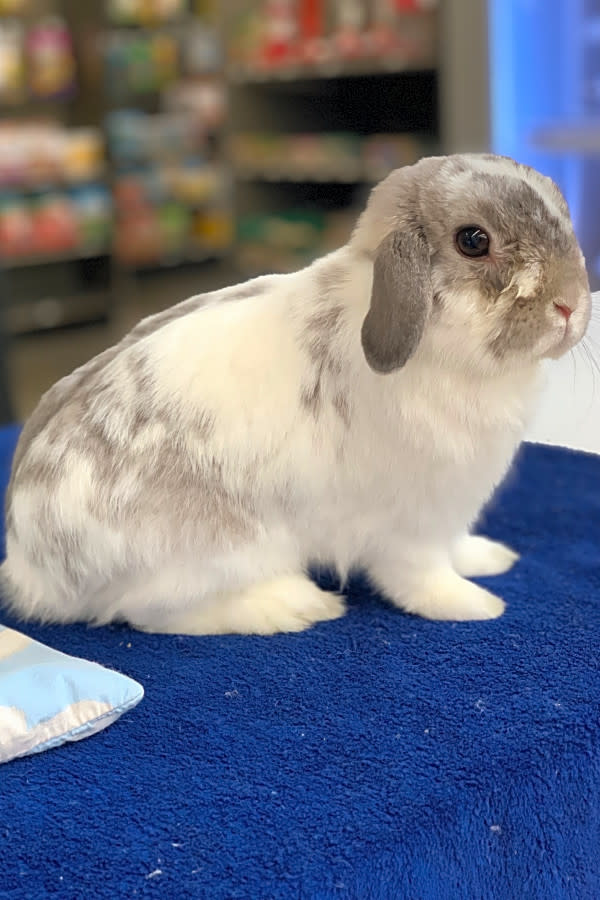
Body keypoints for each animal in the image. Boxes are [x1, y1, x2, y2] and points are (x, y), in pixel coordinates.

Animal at [0, 155, 592, 632]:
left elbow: (458, 546)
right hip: (218, 554)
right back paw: (294, 605)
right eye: (474, 240)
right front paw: (473, 605)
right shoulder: (411, 526)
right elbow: (421, 577)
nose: (570, 305)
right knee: (152, 613)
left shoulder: (450, 514)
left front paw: (490, 559)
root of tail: (33, 569)